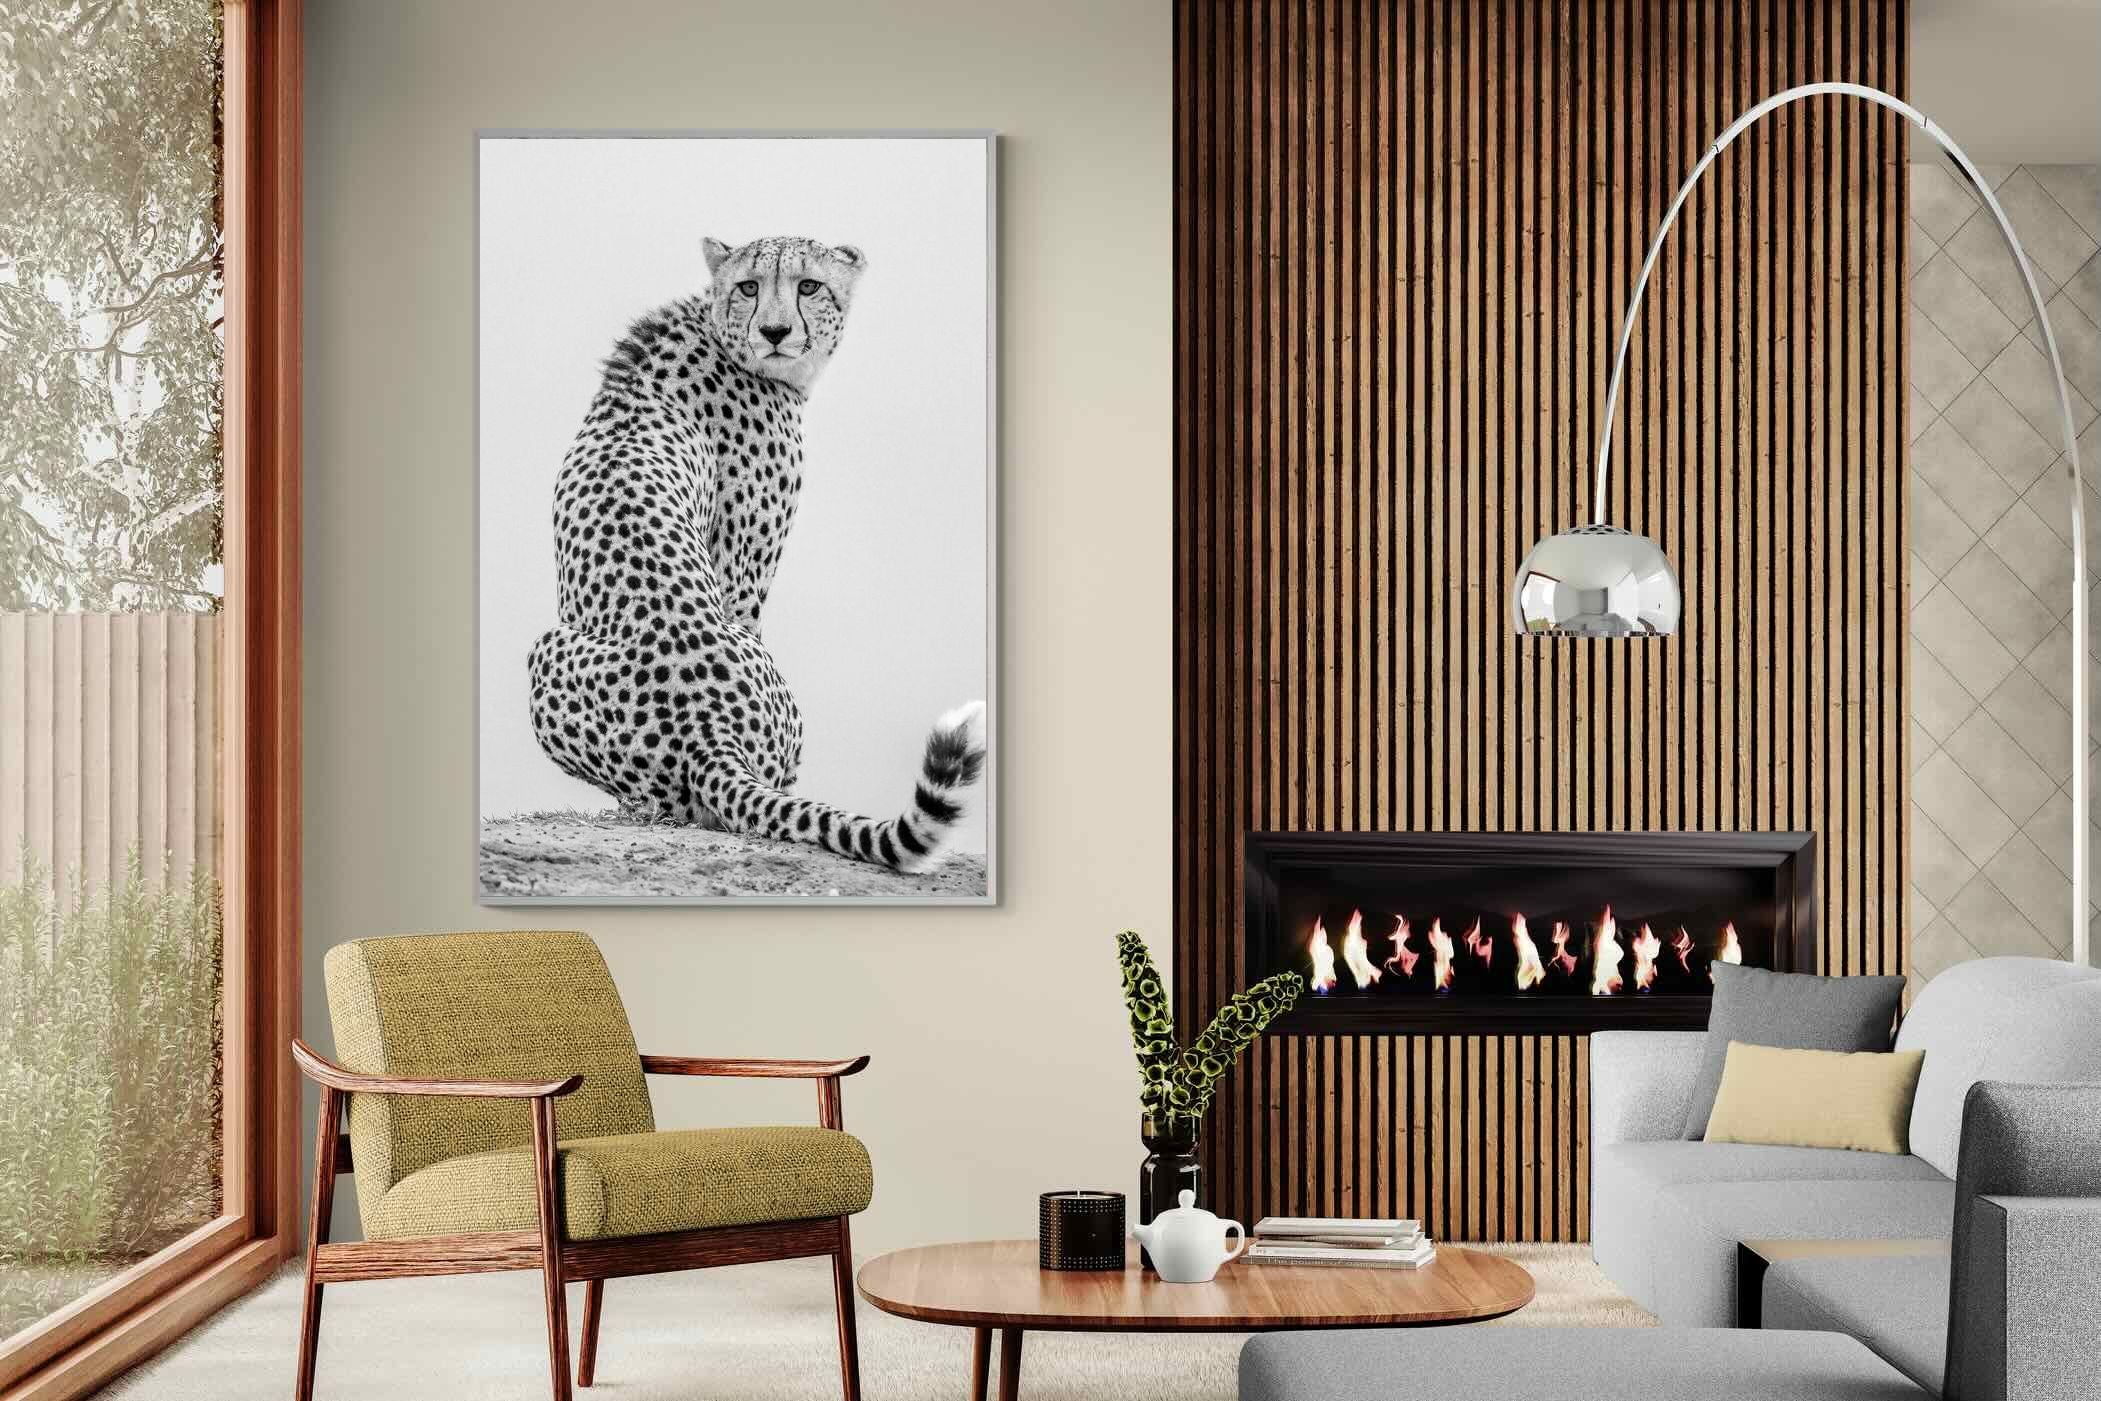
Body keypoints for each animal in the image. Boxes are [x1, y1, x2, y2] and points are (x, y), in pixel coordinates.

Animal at [526, 234, 986, 873]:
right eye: (749, 286)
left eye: (808, 285)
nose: (773, 330)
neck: (719, 332)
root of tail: (707, 731)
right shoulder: (743, 572)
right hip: (552, 649)